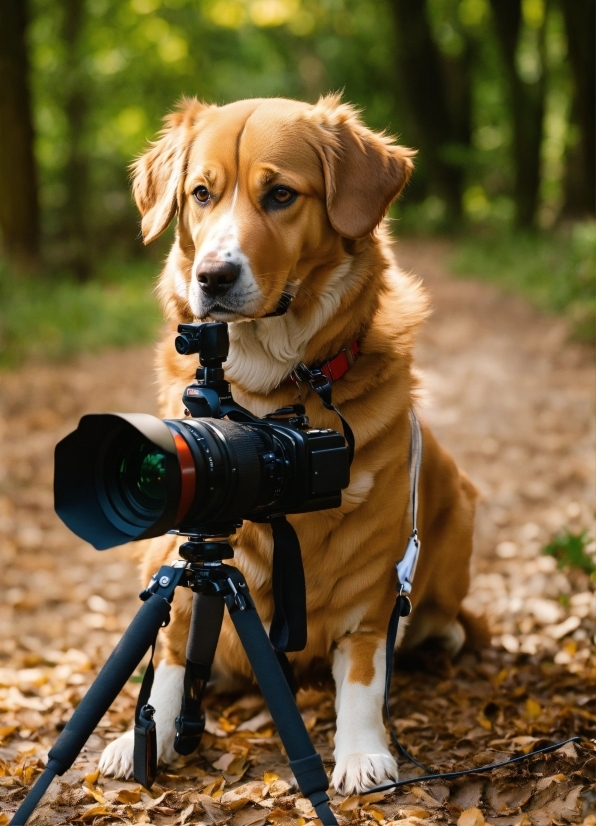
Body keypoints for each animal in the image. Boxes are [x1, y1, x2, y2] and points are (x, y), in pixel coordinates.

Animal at [99, 95, 480, 792]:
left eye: (280, 195)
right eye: (200, 194)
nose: (213, 275)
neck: (262, 396)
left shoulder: (372, 581)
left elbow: (363, 674)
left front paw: (360, 754)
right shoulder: (180, 549)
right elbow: (170, 648)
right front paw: (145, 736)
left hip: (460, 505)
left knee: (443, 621)